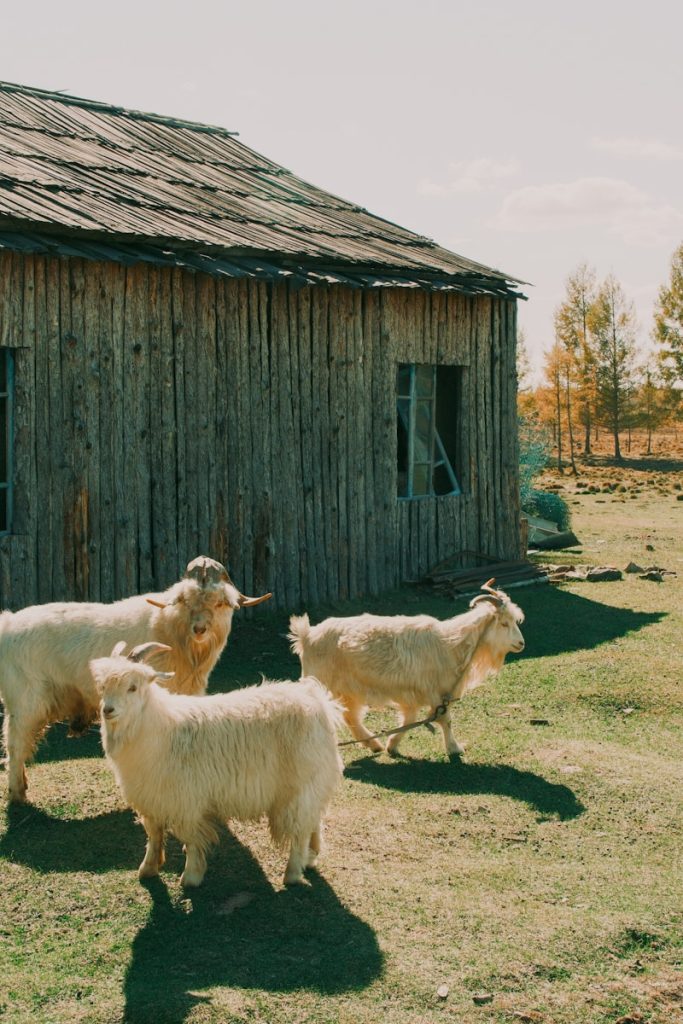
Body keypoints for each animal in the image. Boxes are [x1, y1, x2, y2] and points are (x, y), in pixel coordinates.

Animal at [0, 556, 271, 802]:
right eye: (185, 601)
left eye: (220, 603)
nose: (200, 629)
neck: (171, 632)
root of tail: (8, 623)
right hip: (25, 703)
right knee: (15, 743)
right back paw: (17, 793)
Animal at [91, 642, 343, 887]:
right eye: (102, 687)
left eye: (132, 687)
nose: (107, 710)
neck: (157, 729)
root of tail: (320, 704)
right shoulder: (150, 798)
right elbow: (154, 835)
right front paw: (148, 869)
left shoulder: (187, 801)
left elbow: (191, 838)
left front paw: (191, 876)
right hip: (313, 785)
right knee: (313, 821)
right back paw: (310, 858)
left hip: (299, 787)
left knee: (300, 830)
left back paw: (292, 872)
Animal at [288, 579, 525, 757]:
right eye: (504, 623)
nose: (521, 643)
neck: (451, 644)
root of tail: (306, 636)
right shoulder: (435, 693)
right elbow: (445, 720)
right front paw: (455, 749)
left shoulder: (414, 694)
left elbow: (410, 720)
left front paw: (392, 744)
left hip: (348, 690)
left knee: (350, 716)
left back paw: (374, 745)